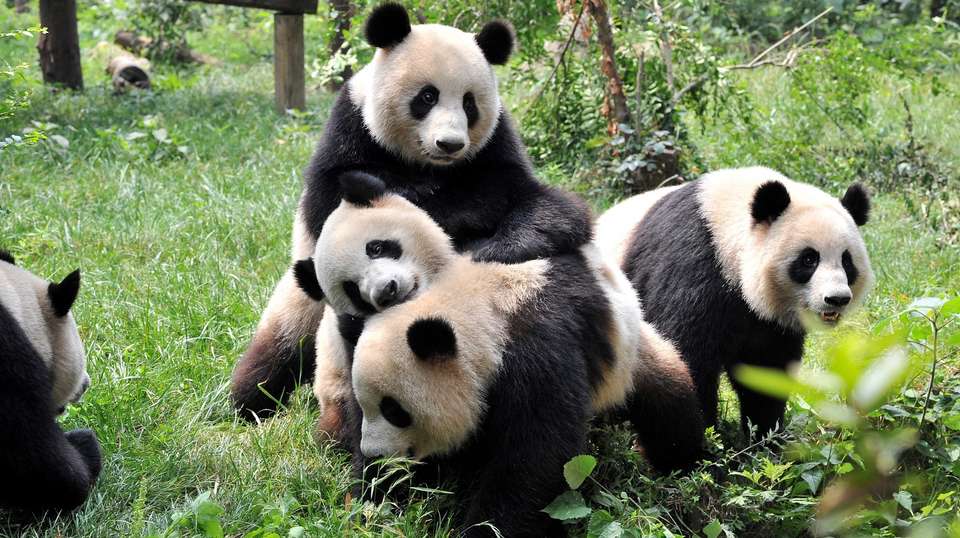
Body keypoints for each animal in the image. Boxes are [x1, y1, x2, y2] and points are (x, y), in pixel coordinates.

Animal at [230, 2, 593, 421]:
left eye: (469, 103)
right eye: (427, 96)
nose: (450, 144)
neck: (428, 166)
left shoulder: (497, 145)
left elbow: (545, 206)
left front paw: (492, 241)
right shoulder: (351, 126)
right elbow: (331, 201)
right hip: (302, 303)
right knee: (280, 345)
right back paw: (249, 400)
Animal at [293, 174, 705, 537]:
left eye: (395, 410)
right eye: (369, 406)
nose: (377, 454)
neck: (479, 307)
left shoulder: (537, 354)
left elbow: (534, 458)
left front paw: (484, 528)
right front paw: (375, 501)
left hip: (631, 353)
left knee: (669, 406)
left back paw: (679, 462)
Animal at [595, 166, 874, 437]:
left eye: (847, 261)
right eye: (809, 259)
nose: (837, 298)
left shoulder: (767, 322)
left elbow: (765, 370)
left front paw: (765, 439)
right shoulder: (691, 265)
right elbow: (686, 354)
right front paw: (707, 439)